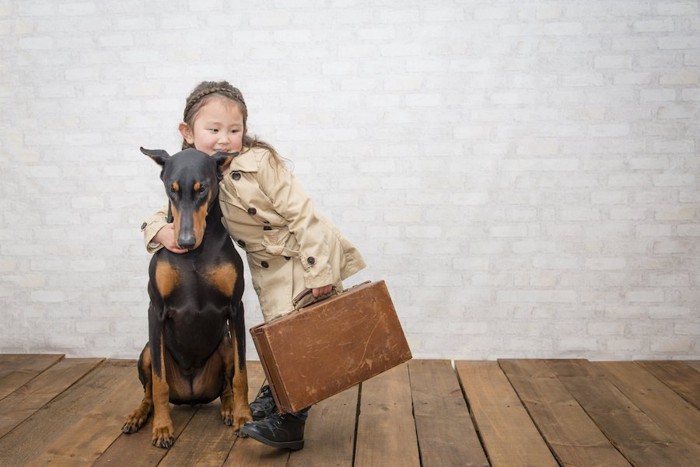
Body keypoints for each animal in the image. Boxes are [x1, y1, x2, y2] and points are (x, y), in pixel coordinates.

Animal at [122, 149, 252, 450]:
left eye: (201, 188)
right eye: (172, 189)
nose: (185, 241)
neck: (195, 256)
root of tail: (192, 397)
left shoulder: (235, 309)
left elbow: (241, 375)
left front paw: (244, 417)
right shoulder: (156, 311)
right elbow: (159, 384)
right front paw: (162, 428)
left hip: (225, 344)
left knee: (226, 385)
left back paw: (229, 408)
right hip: (148, 350)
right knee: (148, 390)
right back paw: (138, 415)